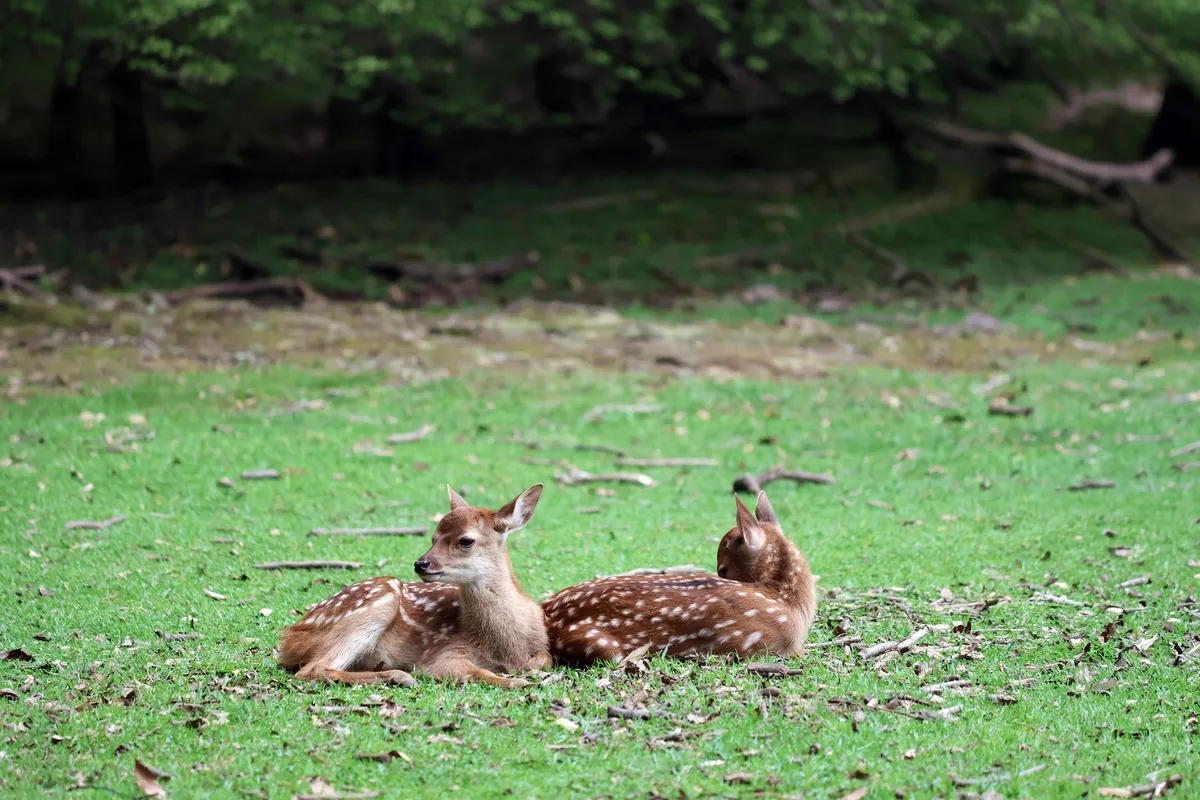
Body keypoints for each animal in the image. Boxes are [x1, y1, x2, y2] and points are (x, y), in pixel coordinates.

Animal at [275, 483, 551, 688]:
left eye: (466, 540)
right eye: (433, 538)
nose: (421, 564)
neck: (506, 646)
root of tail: (289, 636)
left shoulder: (540, 651)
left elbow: (544, 660)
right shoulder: (444, 653)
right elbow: (476, 672)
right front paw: (519, 682)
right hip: (376, 603)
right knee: (313, 669)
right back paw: (399, 676)